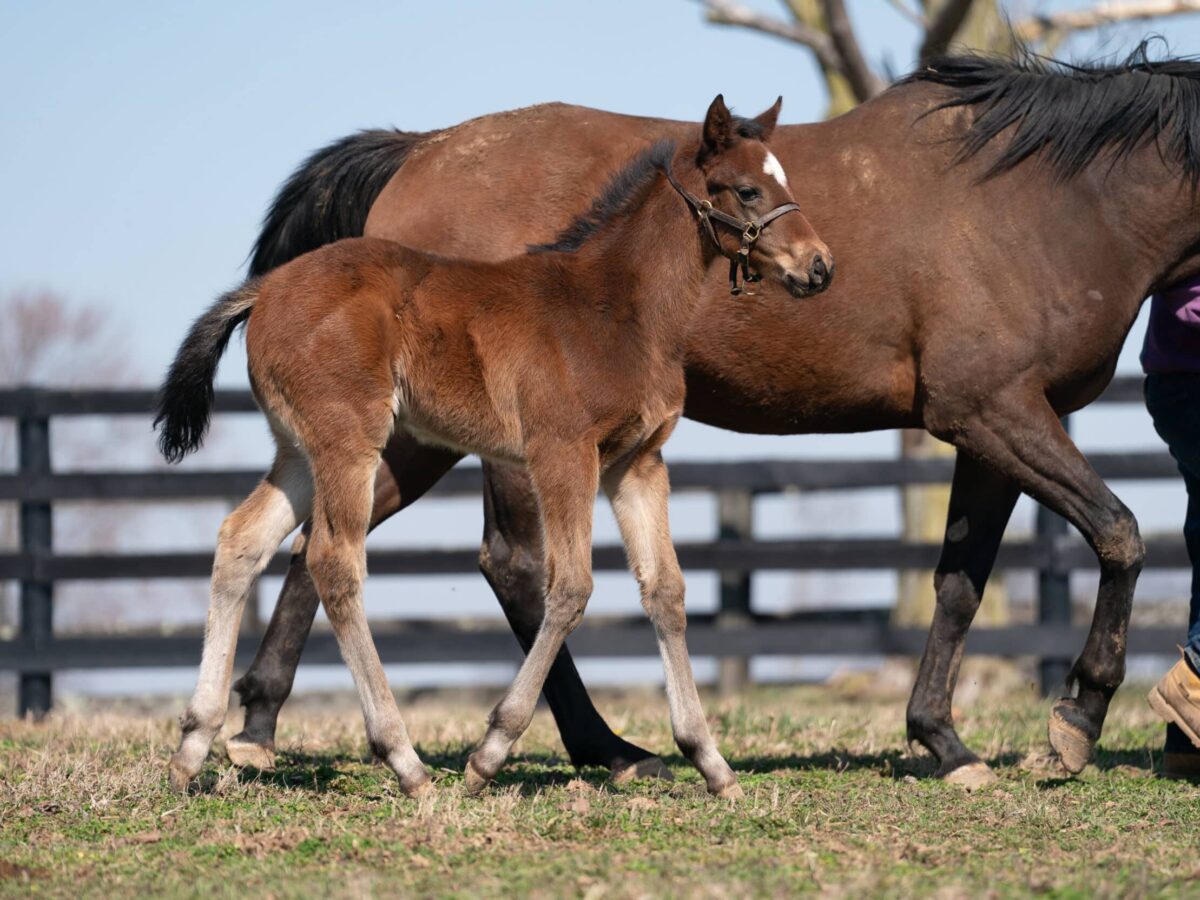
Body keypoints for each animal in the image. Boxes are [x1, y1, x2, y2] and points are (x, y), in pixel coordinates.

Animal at [157, 97, 835, 796]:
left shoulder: (637, 463)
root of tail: (265, 289)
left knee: (241, 540)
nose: (818, 266)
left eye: (786, 180)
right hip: (350, 442)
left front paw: (711, 761)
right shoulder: (563, 453)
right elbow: (570, 588)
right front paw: (490, 753)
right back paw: (404, 760)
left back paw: (193, 746)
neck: (617, 308)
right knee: (334, 562)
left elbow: (666, 591)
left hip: (299, 452)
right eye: (748, 189)